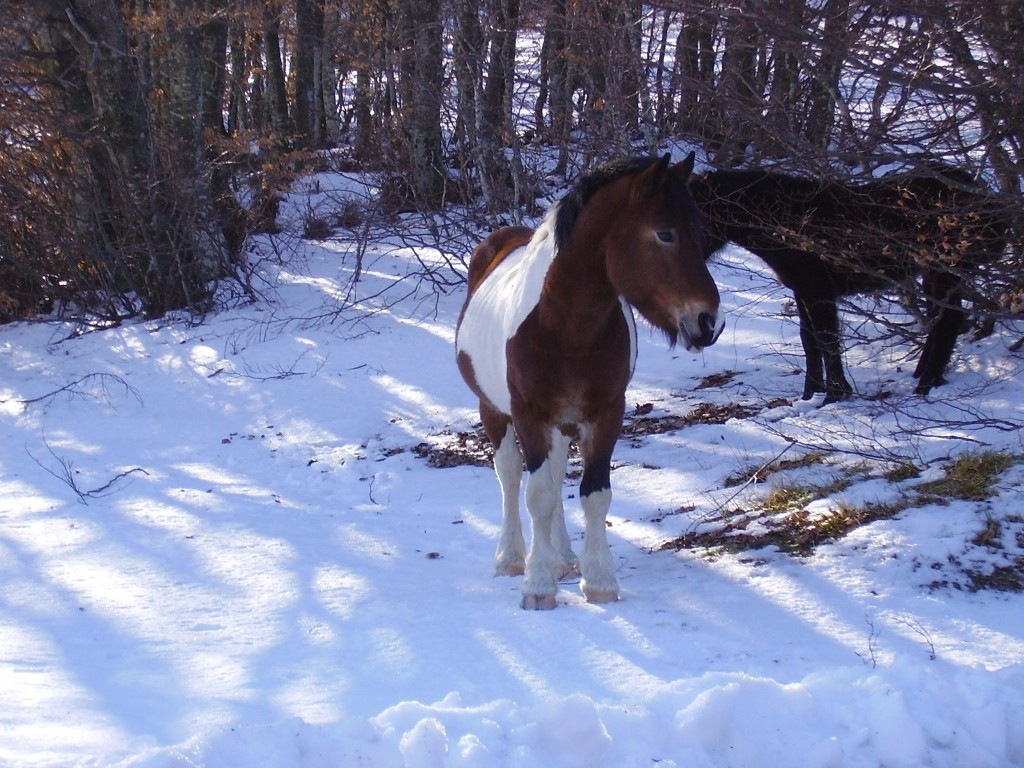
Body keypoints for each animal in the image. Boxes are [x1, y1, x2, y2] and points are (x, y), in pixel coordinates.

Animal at [456, 154, 729, 614]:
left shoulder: (606, 412)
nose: (709, 322)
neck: (565, 327)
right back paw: (512, 558)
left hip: (563, 423)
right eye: (665, 233)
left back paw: (564, 558)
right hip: (494, 410)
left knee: (555, 473)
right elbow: (537, 495)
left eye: (700, 234)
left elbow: (593, 493)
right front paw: (537, 585)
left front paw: (598, 579)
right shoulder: (527, 412)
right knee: (510, 475)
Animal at [688, 164, 1007, 399]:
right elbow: (810, 341)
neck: (786, 221)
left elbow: (827, 340)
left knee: (948, 322)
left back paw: (925, 384)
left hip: (944, 274)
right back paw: (927, 376)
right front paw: (810, 395)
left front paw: (835, 394)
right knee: (945, 321)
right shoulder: (804, 292)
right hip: (937, 277)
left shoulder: (819, 292)